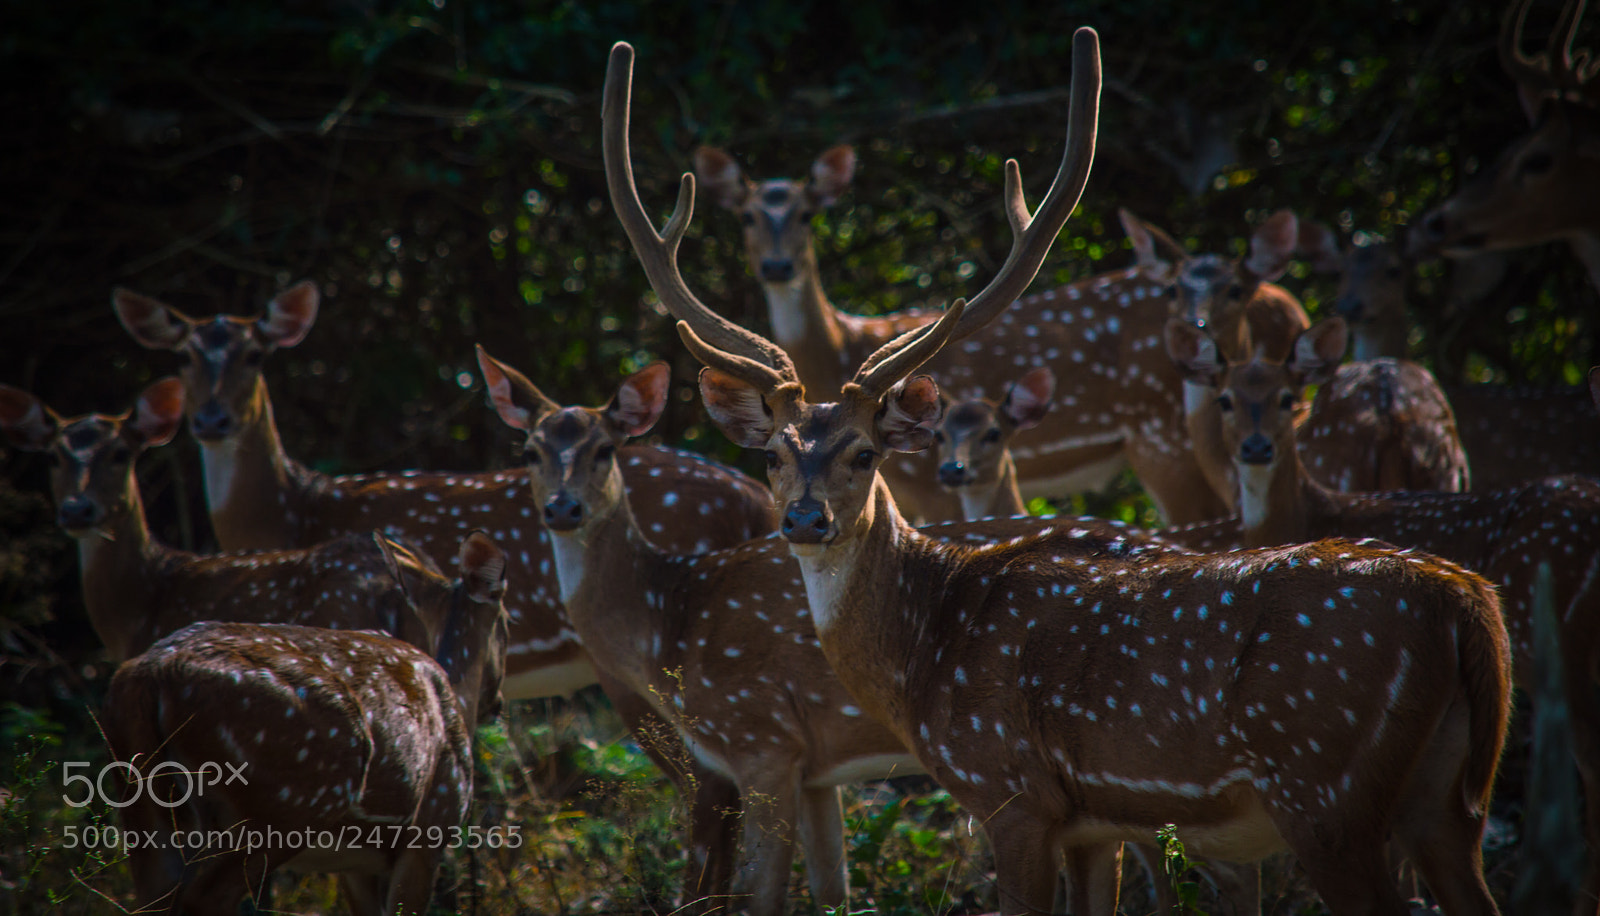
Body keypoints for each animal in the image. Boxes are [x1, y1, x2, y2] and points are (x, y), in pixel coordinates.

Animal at [104, 529, 509, 916]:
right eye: (507, 622)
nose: (497, 701)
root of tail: (150, 674)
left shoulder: (354, 867)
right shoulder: (428, 834)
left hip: (144, 800)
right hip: (292, 797)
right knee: (207, 896)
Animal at [694, 144, 1311, 527]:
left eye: (805, 215)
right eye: (746, 216)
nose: (776, 267)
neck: (841, 345)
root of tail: (1292, 307)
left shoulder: (929, 482)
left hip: (1166, 440)